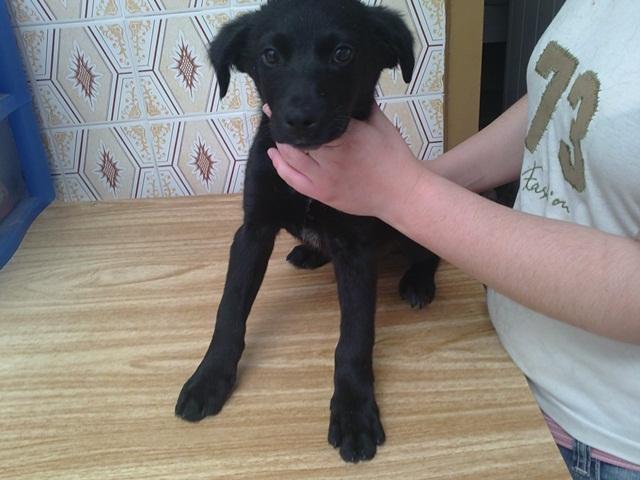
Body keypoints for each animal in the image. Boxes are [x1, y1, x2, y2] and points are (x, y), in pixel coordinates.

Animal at [175, 0, 440, 463]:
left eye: (343, 54)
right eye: (269, 56)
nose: (301, 120)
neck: (315, 167)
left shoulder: (355, 248)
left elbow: (354, 339)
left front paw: (353, 412)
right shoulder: (253, 231)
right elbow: (229, 311)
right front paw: (209, 377)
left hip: (407, 216)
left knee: (430, 253)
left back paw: (418, 282)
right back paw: (310, 252)